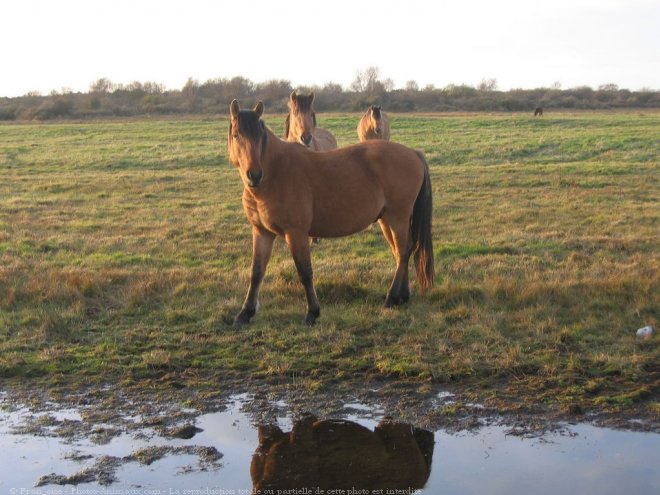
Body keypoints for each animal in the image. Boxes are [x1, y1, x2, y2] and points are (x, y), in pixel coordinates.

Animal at [227, 99, 434, 328]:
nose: (254, 175)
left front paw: (312, 312)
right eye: (236, 135)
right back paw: (402, 297)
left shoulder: (296, 233)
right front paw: (245, 313)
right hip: (387, 219)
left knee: (403, 252)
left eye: (259, 136)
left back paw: (391, 298)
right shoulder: (261, 232)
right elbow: (257, 272)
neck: (275, 173)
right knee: (401, 252)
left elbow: (304, 272)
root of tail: (413, 153)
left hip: (398, 217)